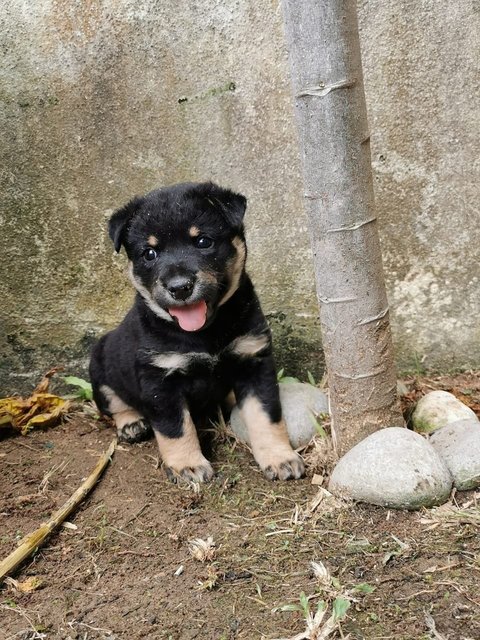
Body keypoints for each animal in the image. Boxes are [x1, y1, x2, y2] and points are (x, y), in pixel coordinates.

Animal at [90, 182, 304, 482]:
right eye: (149, 253)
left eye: (203, 241)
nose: (179, 287)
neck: (204, 334)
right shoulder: (160, 380)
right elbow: (176, 428)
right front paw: (187, 465)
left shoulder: (253, 361)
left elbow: (266, 415)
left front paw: (279, 457)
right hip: (100, 368)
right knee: (115, 403)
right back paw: (132, 423)